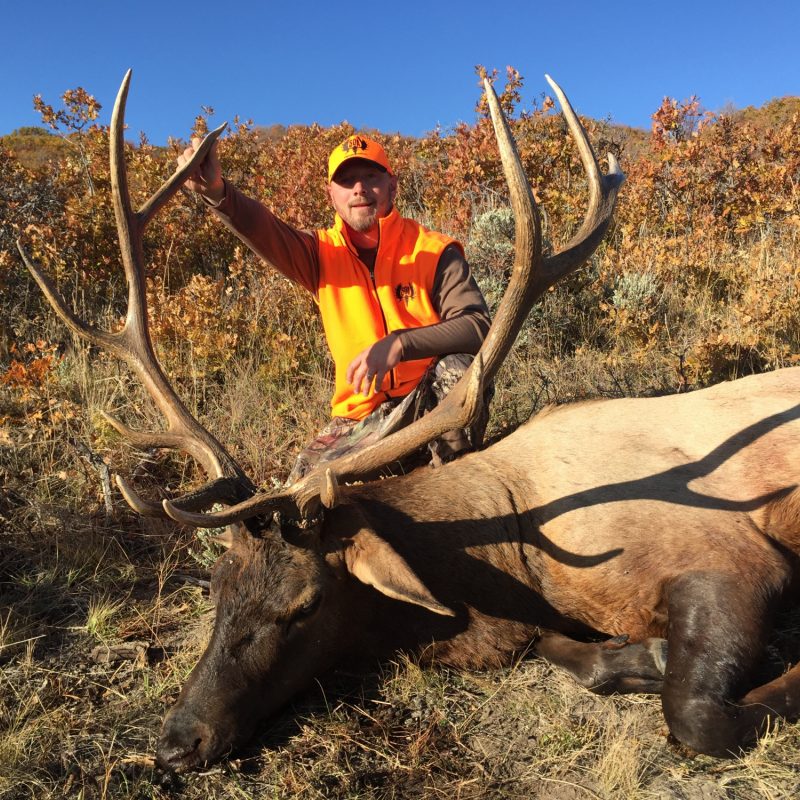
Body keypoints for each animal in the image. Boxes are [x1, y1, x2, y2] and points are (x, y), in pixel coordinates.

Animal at [19, 70, 800, 773]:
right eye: (215, 590)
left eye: (306, 605)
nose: (178, 743)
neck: (521, 546)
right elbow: (577, 656)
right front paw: (637, 654)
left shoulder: (729, 558)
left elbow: (694, 716)